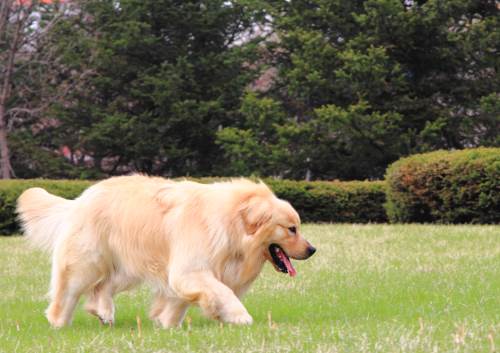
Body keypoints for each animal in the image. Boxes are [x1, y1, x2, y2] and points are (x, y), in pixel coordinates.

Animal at [16, 175, 316, 328]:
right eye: (291, 229)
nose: (312, 249)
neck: (231, 223)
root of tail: (80, 199)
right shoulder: (191, 269)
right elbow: (222, 291)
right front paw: (238, 316)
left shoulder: (183, 273)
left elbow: (179, 300)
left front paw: (167, 324)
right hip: (88, 262)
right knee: (68, 291)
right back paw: (58, 323)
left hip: (128, 267)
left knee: (102, 288)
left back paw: (105, 313)